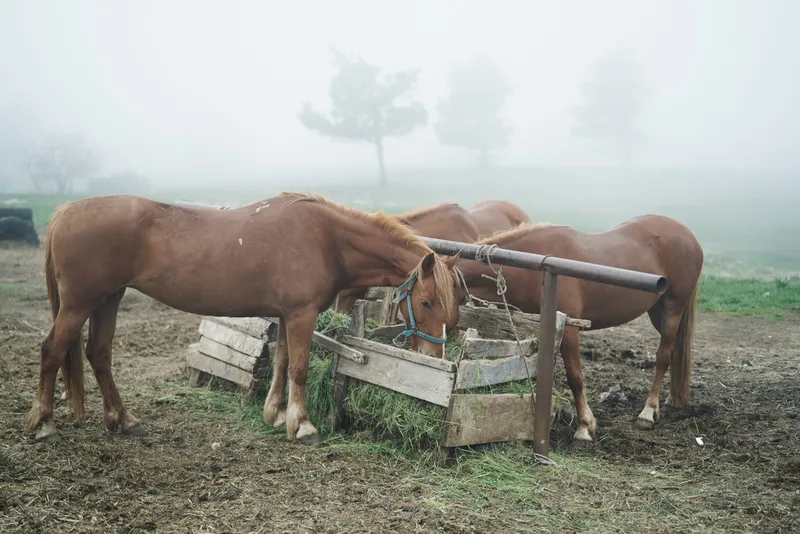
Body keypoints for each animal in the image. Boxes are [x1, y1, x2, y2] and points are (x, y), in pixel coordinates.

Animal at [25, 192, 462, 445]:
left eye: (454, 305)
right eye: (427, 302)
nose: (434, 357)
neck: (326, 239)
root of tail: (67, 212)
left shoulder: (287, 315)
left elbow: (282, 363)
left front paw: (277, 415)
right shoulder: (302, 315)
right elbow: (299, 368)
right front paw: (303, 425)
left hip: (108, 299)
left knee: (98, 354)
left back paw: (124, 419)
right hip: (81, 303)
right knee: (51, 351)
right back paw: (44, 423)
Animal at [453, 215, 704, 443]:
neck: (535, 265)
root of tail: (689, 236)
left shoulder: (569, 330)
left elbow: (575, 378)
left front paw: (584, 427)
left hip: (673, 308)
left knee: (663, 356)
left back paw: (648, 412)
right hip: (657, 311)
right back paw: (672, 400)